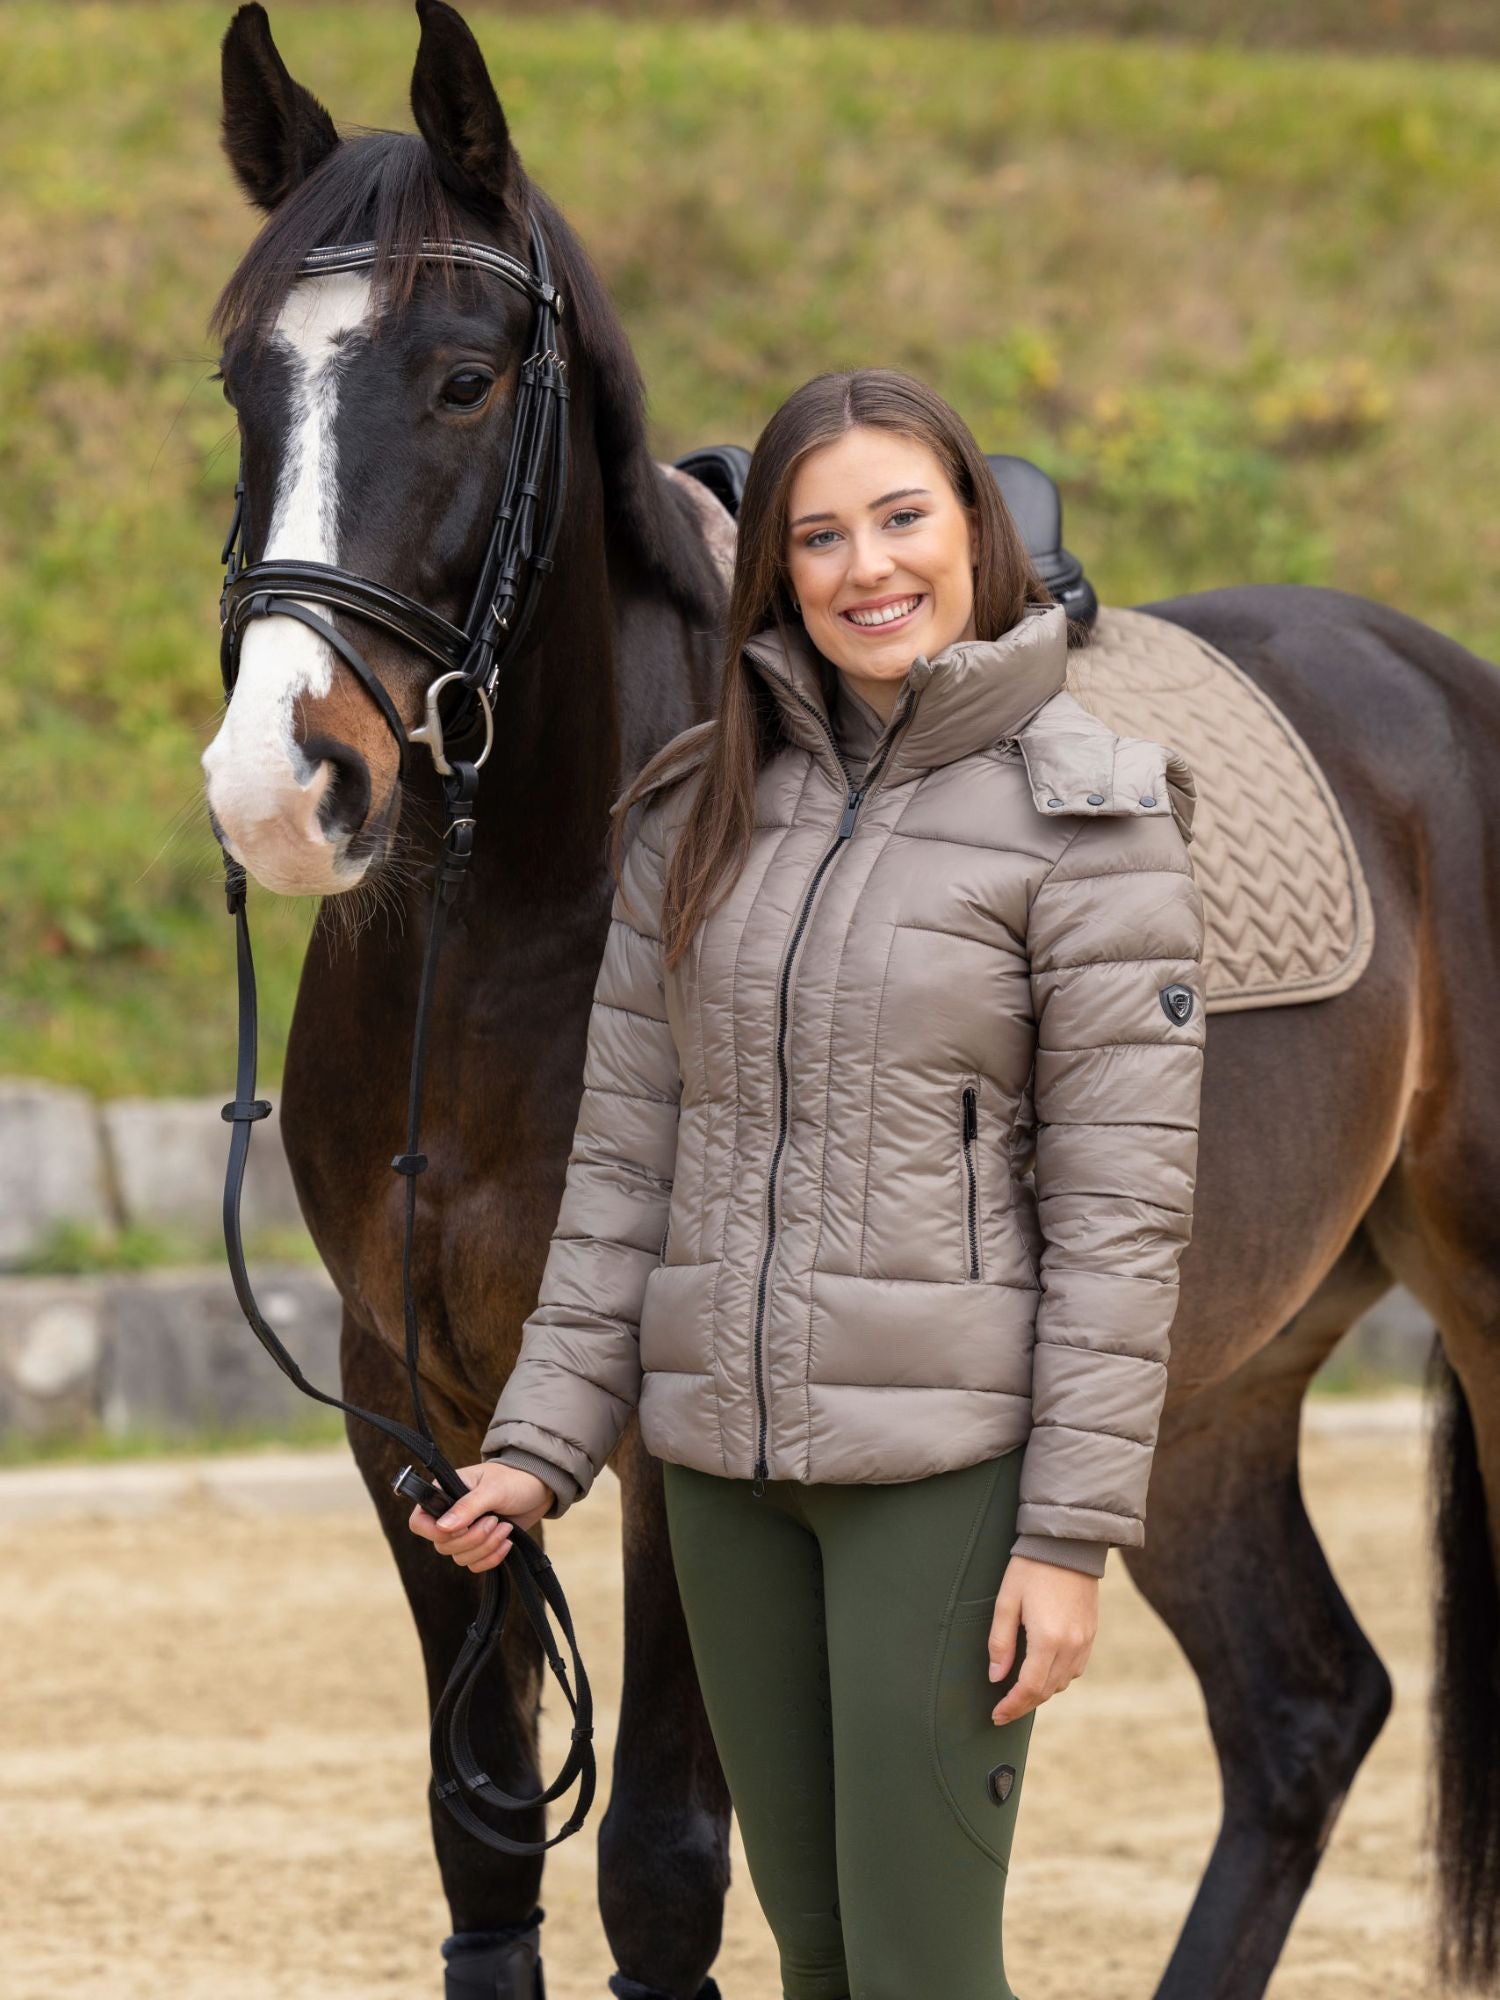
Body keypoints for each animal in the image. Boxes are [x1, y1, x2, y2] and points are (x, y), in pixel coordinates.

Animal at [203, 3, 1500, 2000]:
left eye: (465, 379)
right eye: (240, 392)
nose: (284, 784)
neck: (512, 936)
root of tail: (1439, 688)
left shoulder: (669, 1439)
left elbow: (660, 1870)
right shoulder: (402, 1416)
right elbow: (483, 1849)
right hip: (1199, 1384)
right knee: (1301, 1710)